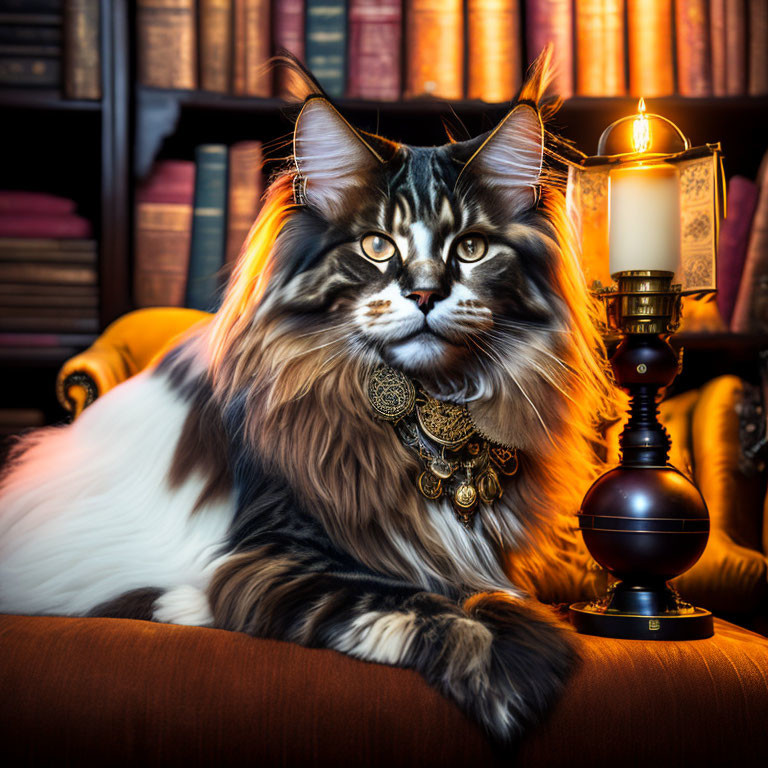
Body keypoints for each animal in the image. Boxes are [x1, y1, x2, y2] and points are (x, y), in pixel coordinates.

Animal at [0, 63, 612, 740]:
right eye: (378, 246)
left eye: (471, 248)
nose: (426, 294)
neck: (429, 413)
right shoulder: (277, 556)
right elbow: (424, 607)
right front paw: (508, 685)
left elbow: (491, 595)